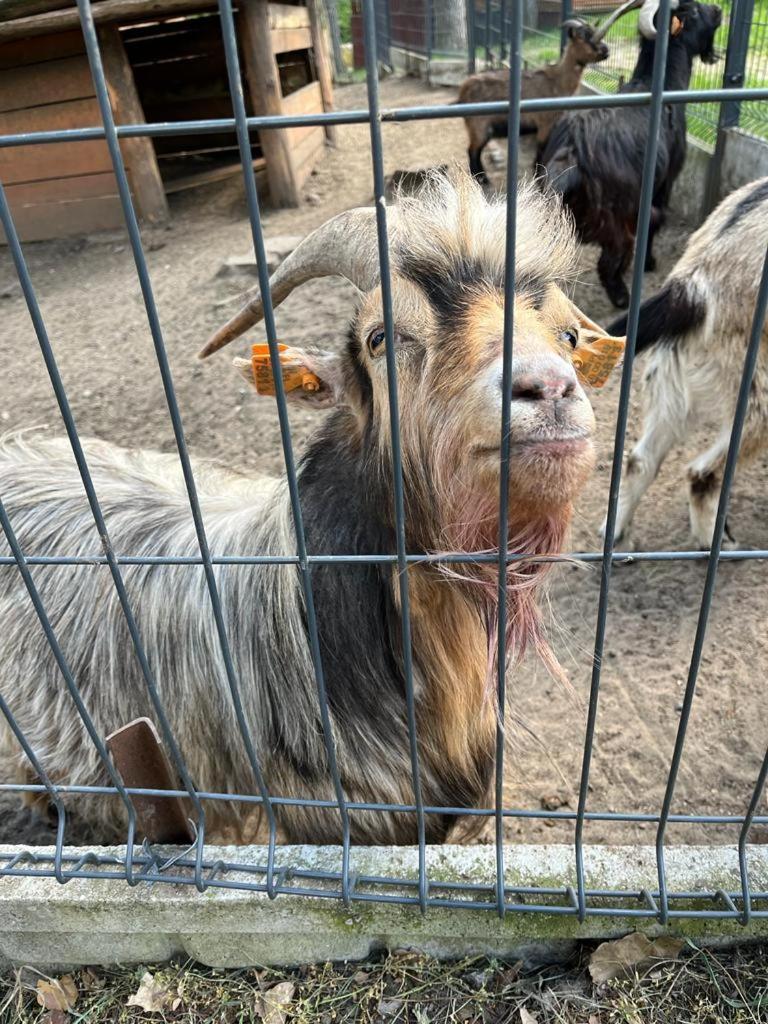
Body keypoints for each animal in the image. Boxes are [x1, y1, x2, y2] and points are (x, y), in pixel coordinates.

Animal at [456, 18, 614, 182]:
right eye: (583, 36)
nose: (606, 51)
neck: (556, 81)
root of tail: (463, 89)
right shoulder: (545, 123)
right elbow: (541, 148)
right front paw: (538, 174)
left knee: (475, 150)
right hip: (478, 125)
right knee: (472, 151)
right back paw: (482, 179)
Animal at [540, 0, 720, 307]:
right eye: (694, 11)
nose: (719, 12)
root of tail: (570, 155)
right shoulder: (665, 182)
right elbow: (654, 224)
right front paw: (649, 263)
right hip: (615, 220)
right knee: (610, 260)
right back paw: (622, 297)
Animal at [602, 176, 768, 548]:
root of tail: (694, 286)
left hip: (672, 381)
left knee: (640, 460)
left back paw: (615, 531)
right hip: (754, 397)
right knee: (702, 475)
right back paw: (719, 545)